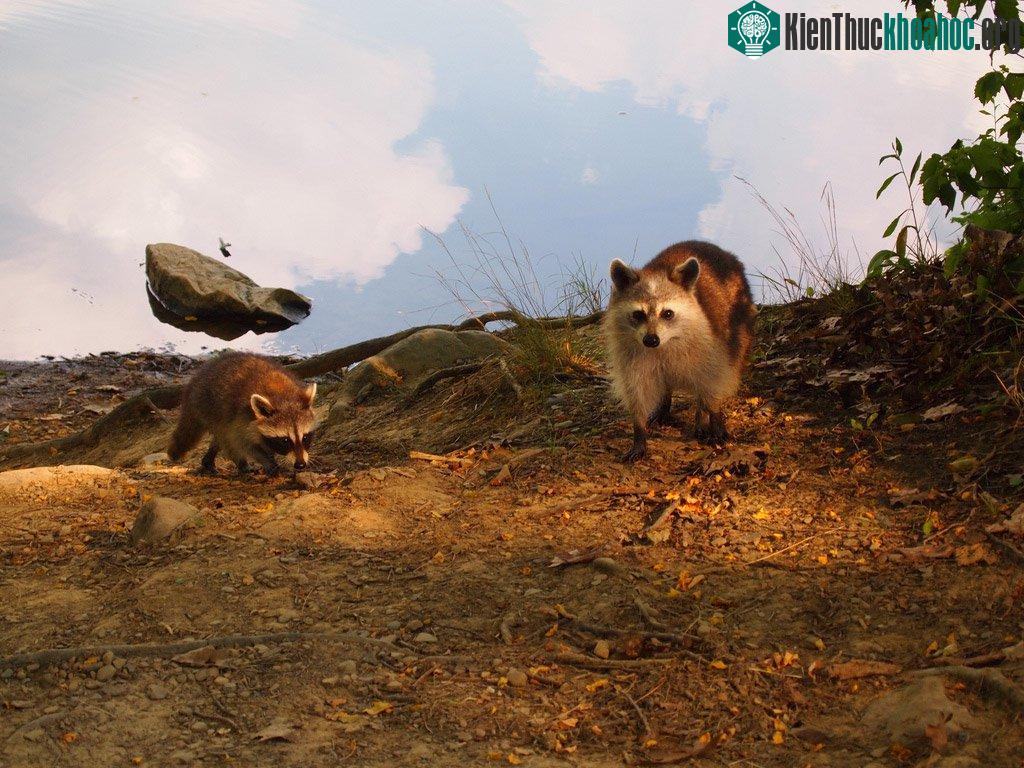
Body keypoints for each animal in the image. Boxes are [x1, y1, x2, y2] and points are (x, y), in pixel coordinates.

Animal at [168, 352, 317, 475]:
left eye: (305, 437)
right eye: (285, 440)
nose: (300, 464)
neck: (282, 395)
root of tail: (194, 383)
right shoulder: (241, 417)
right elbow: (244, 444)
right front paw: (268, 462)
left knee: (220, 438)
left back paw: (209, 458)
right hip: (209, 406)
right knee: (227, 438)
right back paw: (240, 463)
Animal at [603, 240, 756, 461]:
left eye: (667, 313)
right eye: (638, 314)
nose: (651, 340)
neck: (663, 345)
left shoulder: (709, 346)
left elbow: (712, 383)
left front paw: (714, 417)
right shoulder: (630, 355)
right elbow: (637, 392)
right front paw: (639, 432)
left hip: (738, 325)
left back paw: (702, 415)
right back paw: (665, 404)